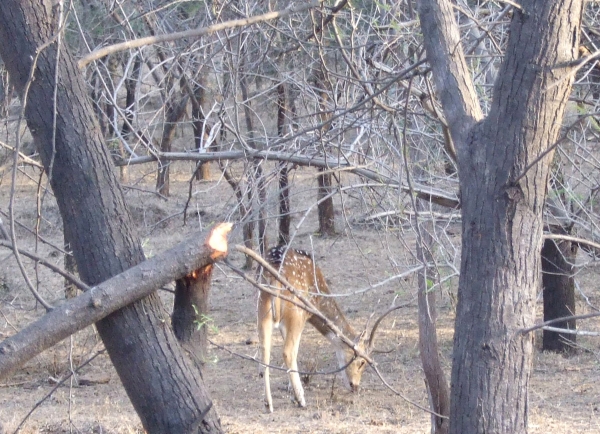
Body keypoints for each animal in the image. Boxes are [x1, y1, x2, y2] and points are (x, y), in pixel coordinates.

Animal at [258, 246, 380, 412]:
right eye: (362, 362)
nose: (355, 386)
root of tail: (274, 274)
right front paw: (295, 394)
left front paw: (289, 388)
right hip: (297, 311)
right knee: (288, 351)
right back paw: (301, 400)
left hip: (262, 306)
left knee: (264, 350)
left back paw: (268, 403)